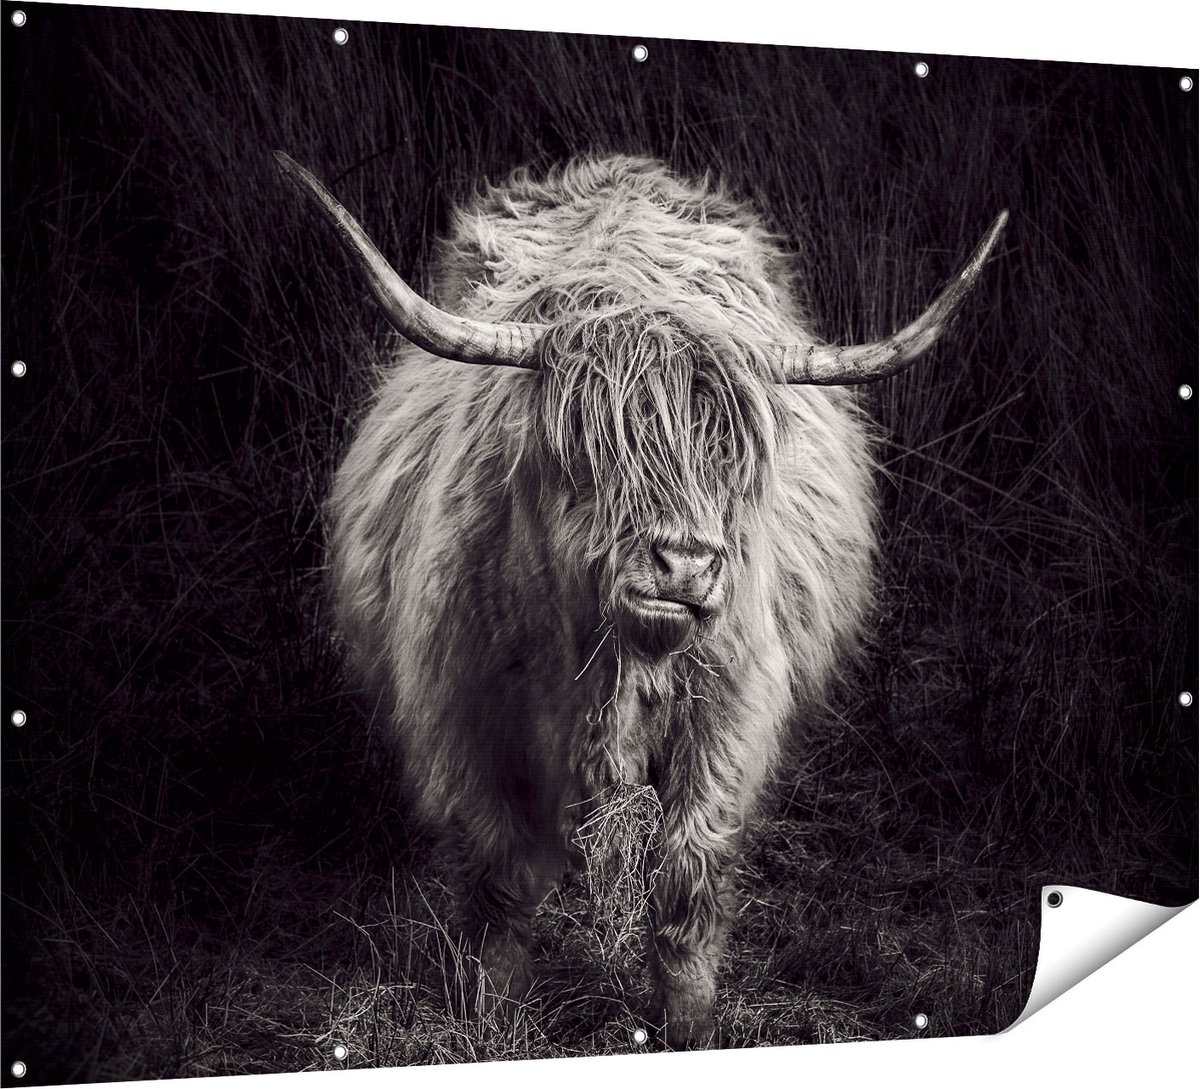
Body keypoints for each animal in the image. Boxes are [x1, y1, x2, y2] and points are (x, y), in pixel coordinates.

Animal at [275, 151, 1006, 1049]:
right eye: (593, 452)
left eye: (729, 455)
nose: (686, 563)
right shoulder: (466, 713)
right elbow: (498, 877)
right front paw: (491, 1019)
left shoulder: (728, 713)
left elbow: (686, 876)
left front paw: (688, 1025)